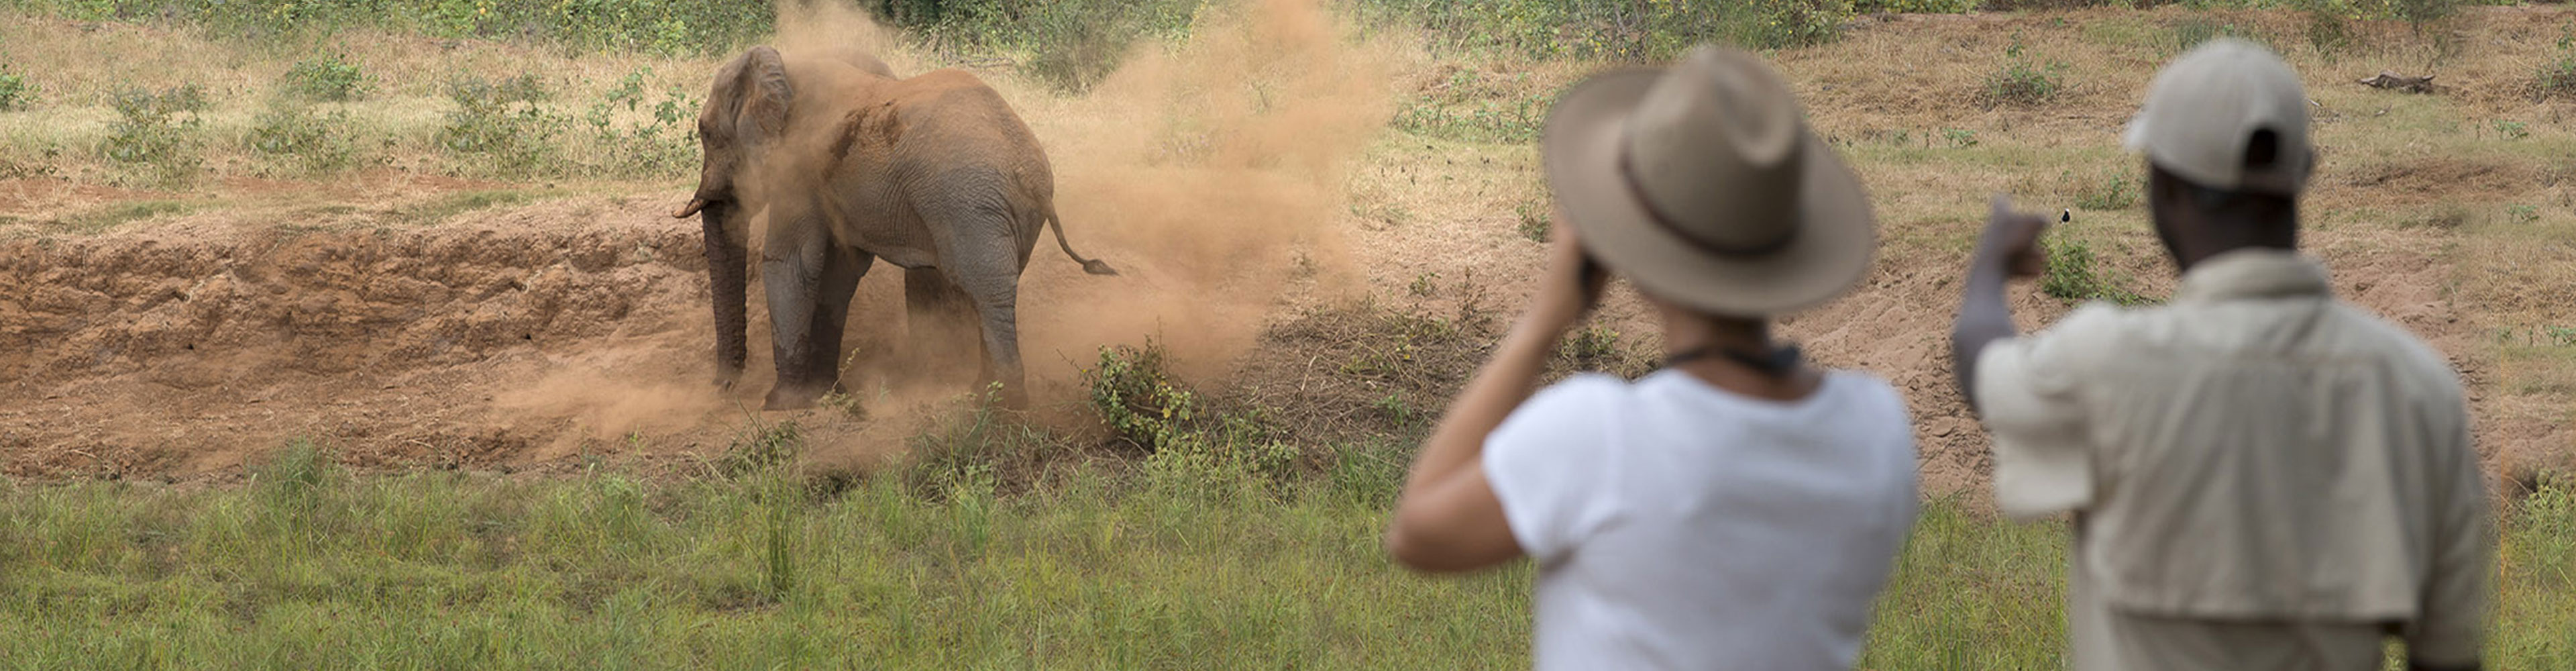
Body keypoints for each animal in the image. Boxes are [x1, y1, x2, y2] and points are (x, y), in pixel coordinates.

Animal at [669, 46, 1112, 407]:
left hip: (970, 204)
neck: (786, 65)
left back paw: (1003, 403)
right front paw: (828, 394)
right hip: (1009, 213)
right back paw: (981, 392)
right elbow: (838, 273)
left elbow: (791, 262)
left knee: (985, 289)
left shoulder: (797, 166)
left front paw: (782, 404)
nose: (723, 388)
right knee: (991, 286)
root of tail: (1031, 173)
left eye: (705, 132)